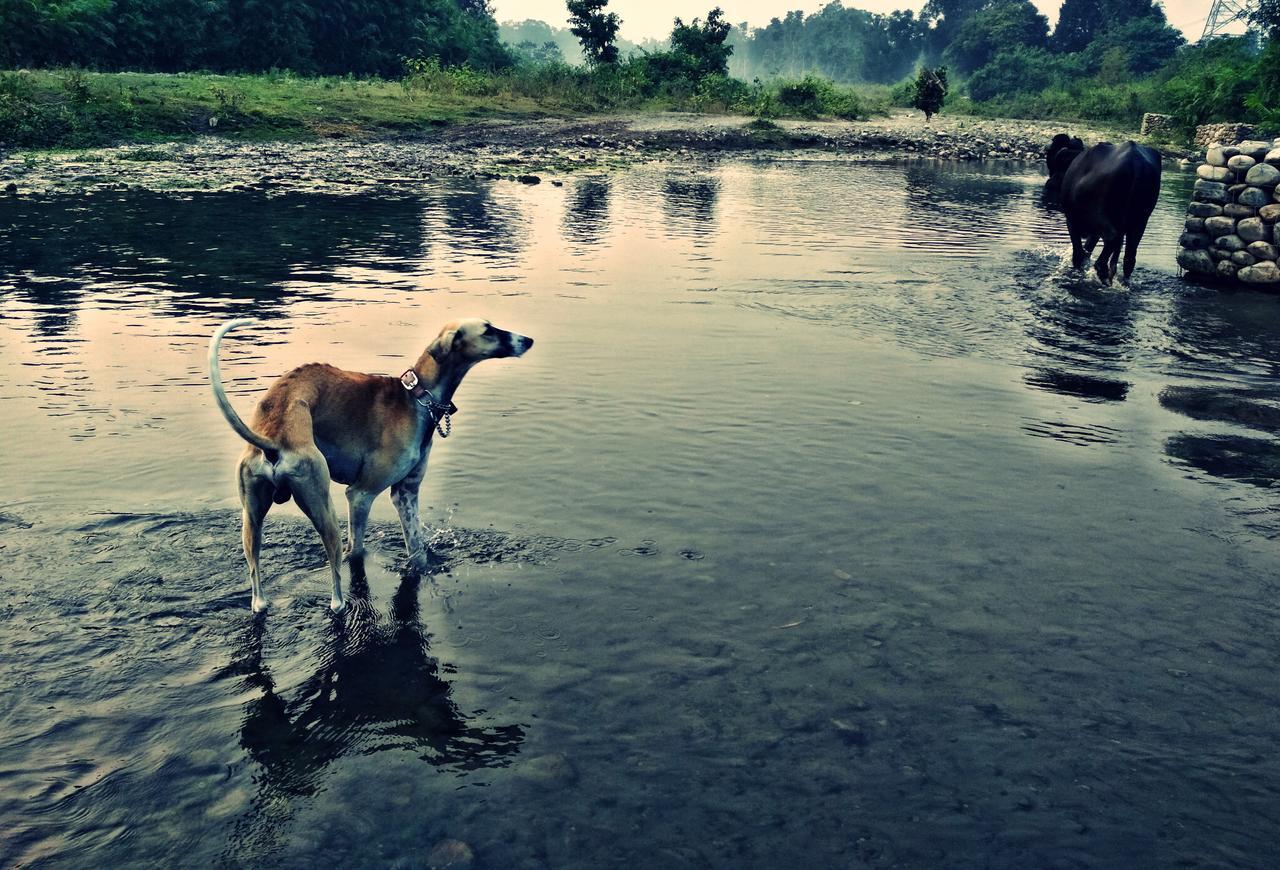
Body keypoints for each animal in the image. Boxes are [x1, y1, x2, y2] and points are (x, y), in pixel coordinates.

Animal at [209, 317, 529, 611]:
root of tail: (275, 437)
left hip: (251, 517)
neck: (415, 400)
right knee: (336, 592)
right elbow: (357, 551)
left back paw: (260, 601)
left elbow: (417, 548)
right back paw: (340, 602)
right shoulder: (361, 495)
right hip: (322, 506)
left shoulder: (406, 493)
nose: (528, 340)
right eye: (488, 330)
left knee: (257, 590)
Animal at [1049, 134, 1162, 281]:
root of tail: (1136, 163)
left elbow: (1079, 252)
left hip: (1101, 217)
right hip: (1140, 221)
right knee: (1129, 257)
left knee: (1111, 241)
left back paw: (1102, 271)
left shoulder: (1072, 221)